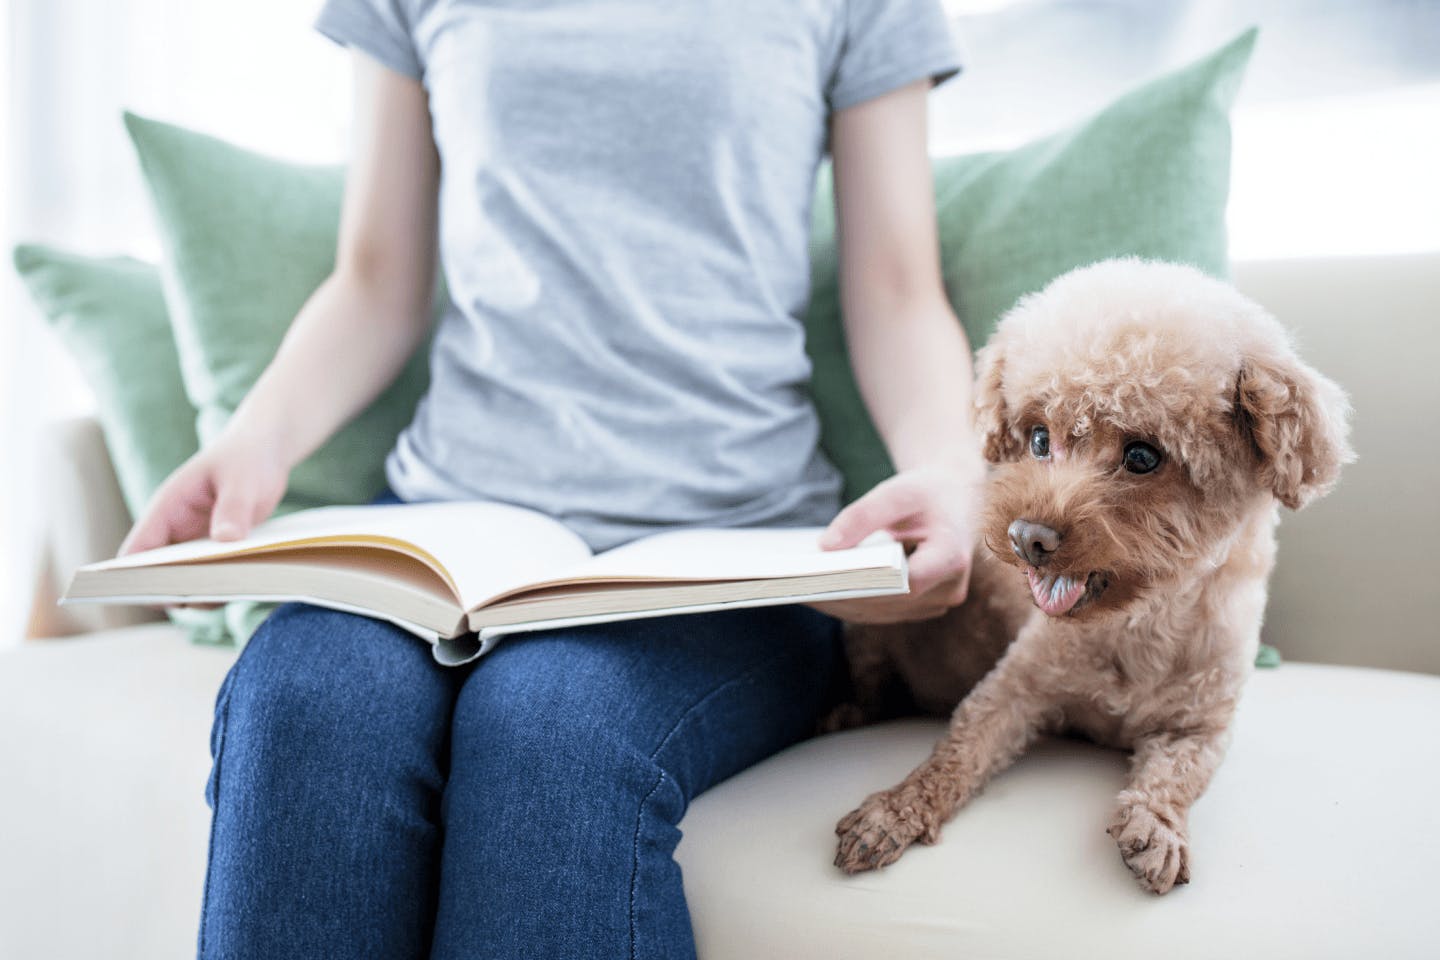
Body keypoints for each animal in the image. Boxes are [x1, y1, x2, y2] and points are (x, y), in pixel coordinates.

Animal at [829, 259, 1353, 898]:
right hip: (865, 635)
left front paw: (1156, 829)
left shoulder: (1200, 727)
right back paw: (847, 714)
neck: (1143, 625)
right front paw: (890, 813)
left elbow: (1176, 779)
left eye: (1143, 456)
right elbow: (956, 754)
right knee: (869, 680)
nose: (1027, 538)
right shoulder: (1014, 688)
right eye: (1038, 439)